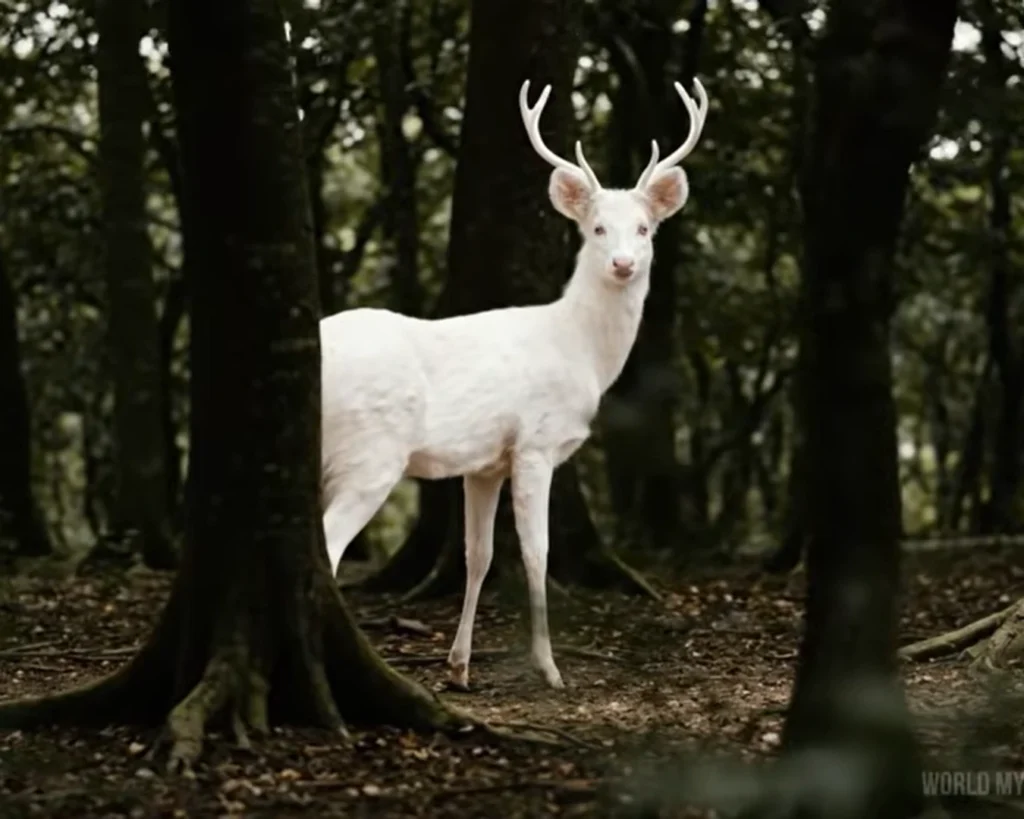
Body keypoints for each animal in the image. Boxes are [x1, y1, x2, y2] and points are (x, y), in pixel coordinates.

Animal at [319, 76, 709, 690]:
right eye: (597, 228)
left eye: (645, 228)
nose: (623, 263)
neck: (579, 351)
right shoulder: (536, 443)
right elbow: (536, 553)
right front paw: (550, 669)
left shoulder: (483, 463)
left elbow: (477, 557)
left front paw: (458, 667)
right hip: (370, 452)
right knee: (331, 547)